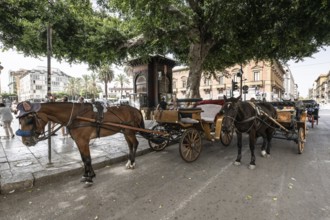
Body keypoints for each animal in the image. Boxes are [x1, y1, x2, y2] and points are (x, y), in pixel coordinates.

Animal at [15, 102, 146, 185]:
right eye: (20, 120)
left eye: (29, 119)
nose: (26, 142)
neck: (76, 116)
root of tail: (136, 109)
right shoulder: (79, 141)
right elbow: (84, 159)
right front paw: (87, 175)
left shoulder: (83, 141)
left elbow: (87, 159)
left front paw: (89, 178)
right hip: (126, 131)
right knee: (130, 145)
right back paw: (130, 162)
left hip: (129, 131)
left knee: (135, 143)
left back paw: (132, 163)